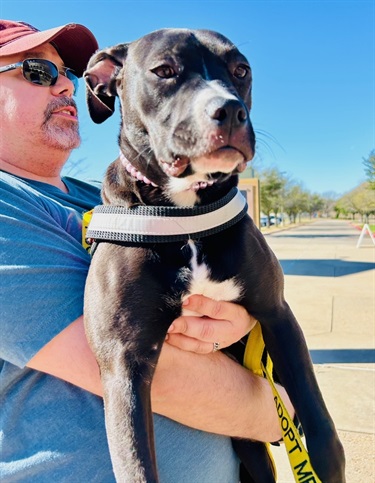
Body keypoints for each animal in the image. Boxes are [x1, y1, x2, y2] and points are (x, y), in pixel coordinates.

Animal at [83, 28, 346, 482]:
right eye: (163, 70)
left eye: (241, 71)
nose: (230, 110)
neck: (184, 213)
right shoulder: (123, 362)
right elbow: (136, 463)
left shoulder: (278, 315)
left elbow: (321, 430)